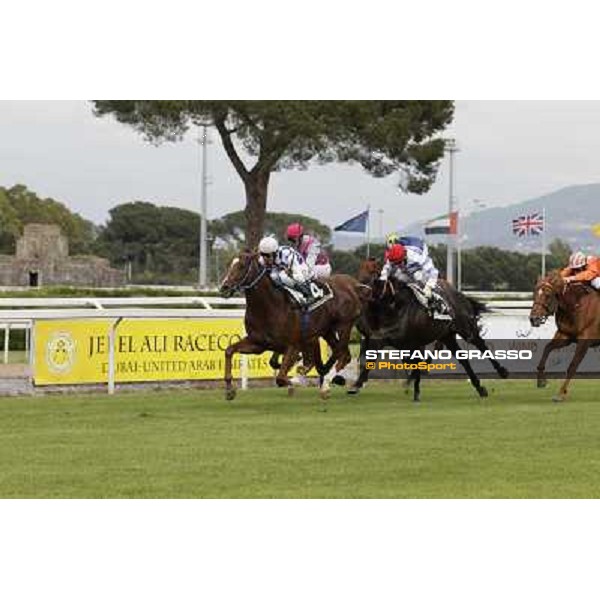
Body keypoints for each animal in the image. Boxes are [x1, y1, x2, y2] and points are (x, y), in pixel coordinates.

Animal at [220, 251, 368, 400]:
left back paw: (325, 385)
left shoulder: (293, 345)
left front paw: (294, 382)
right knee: (341, 354)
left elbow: (281, 377)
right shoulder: (258, 343)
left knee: (343, 355)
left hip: (344, 326)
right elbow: (229, 350)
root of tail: (352, 285)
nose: (224, 287)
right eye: (229, 265)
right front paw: (229, 389)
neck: (269, 307)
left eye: (242, 266)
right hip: (327, 331)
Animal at [350, 256, 508, 400]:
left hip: (466, 329)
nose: (358, 293)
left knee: (481, 345)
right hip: (447, 336)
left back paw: (502, 371)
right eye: (358, 272)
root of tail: (459, 294)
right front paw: (356, 385)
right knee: (463, 359)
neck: (394, 307)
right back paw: (480, 388)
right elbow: (369, 362)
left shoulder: (412, 343)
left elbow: (415, 364)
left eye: (373, 274)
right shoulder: (380, 339)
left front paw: (415, 391)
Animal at [528, 270, 600, 400]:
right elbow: (547, 348)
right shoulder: (565, 335)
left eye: (548, 295)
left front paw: (561, 393)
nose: (534, 319)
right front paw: (541, 380)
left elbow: (573, 365)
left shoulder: (585, 340)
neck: (575, 305)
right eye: (534, 294)